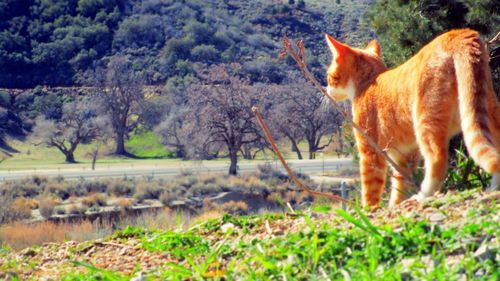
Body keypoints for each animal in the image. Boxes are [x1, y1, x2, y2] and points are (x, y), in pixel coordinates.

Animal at [324, 29, 496, 207]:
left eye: (329, 76)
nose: (326, 89)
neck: (369, 81)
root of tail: (455, 34)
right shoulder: (404, 156)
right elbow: (400, 185)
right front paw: (395, 204)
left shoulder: (370, 151)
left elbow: (371, 187)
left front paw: (368, 209)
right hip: (485, 112)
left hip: (426, 121)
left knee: (437, 160)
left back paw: (423, 195)